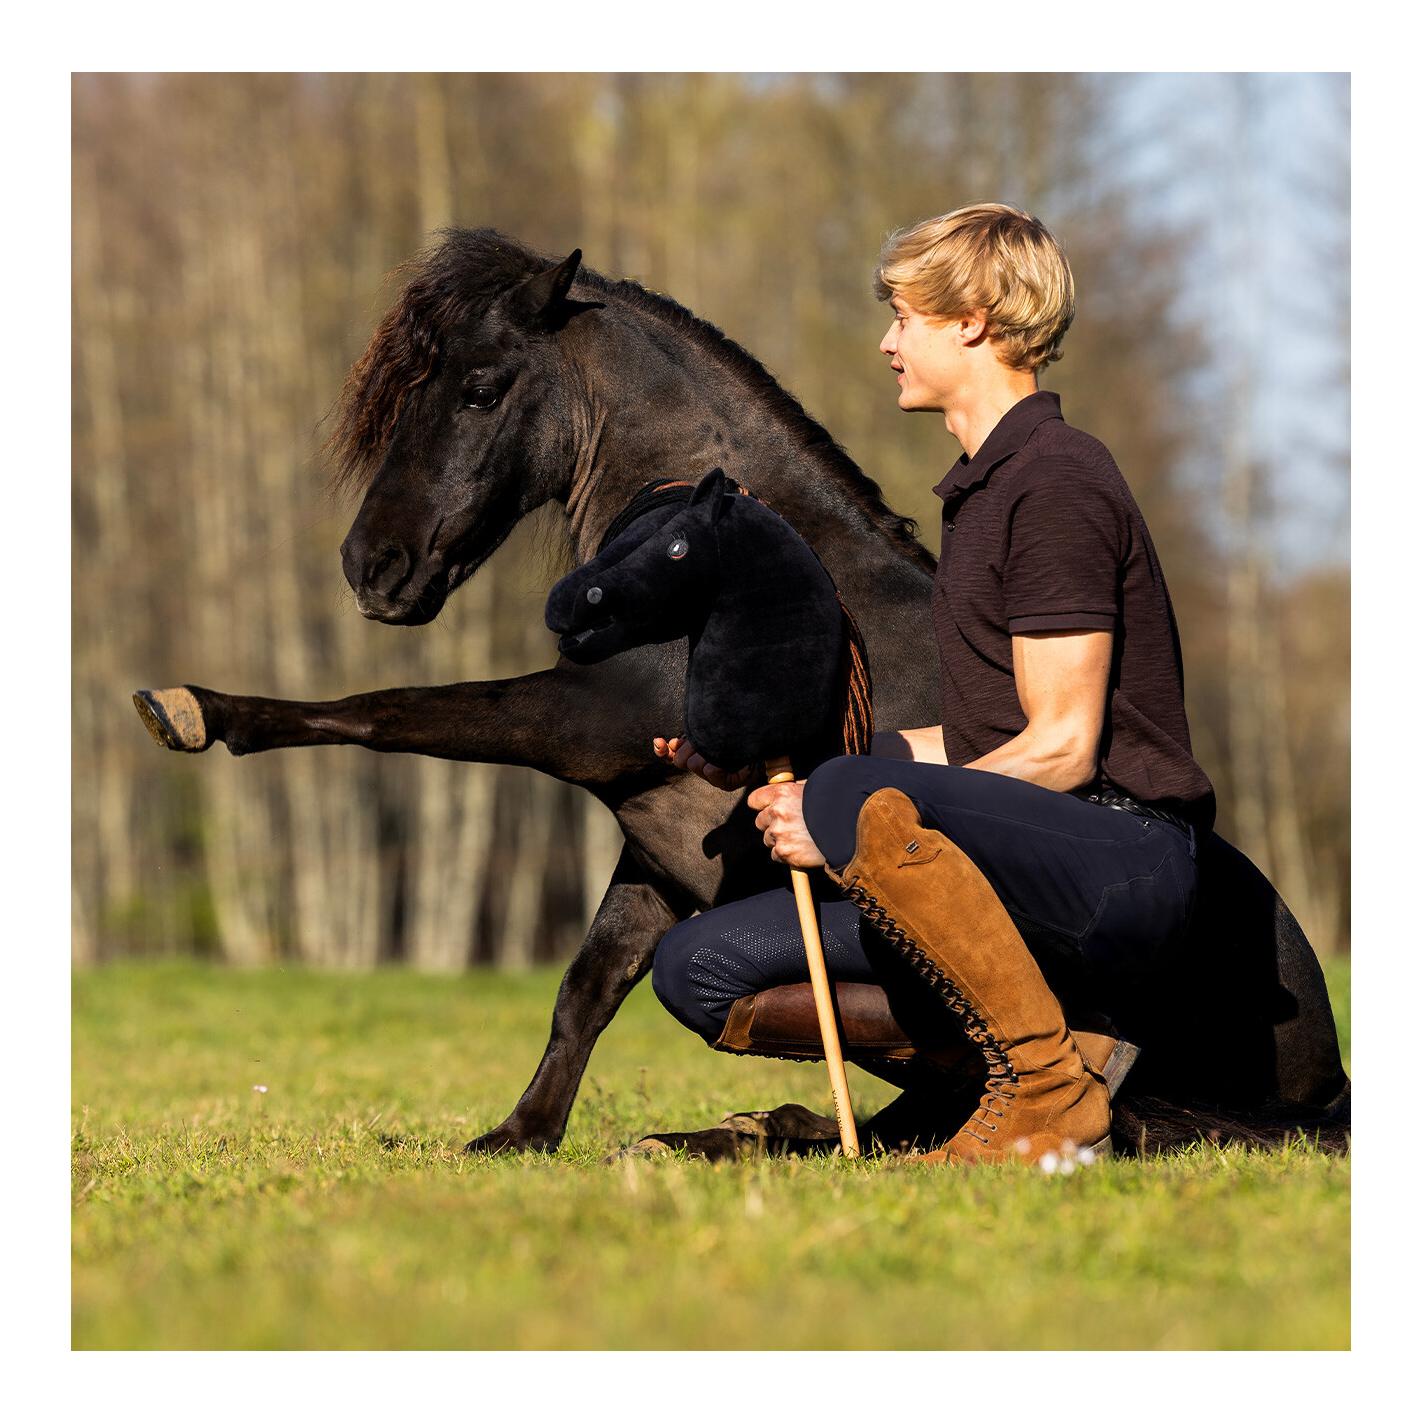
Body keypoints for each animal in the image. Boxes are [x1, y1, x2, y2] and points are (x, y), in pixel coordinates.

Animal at [132, 228, 1349, 1154]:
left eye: (479, 388)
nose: (370, 567)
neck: (729, 557)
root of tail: (1330, 1079)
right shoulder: (656, 836)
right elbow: (589, 984)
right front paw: (521, 1135)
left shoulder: (572, 723)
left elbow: (388, 714)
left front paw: (200, 711)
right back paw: (755, 1128)